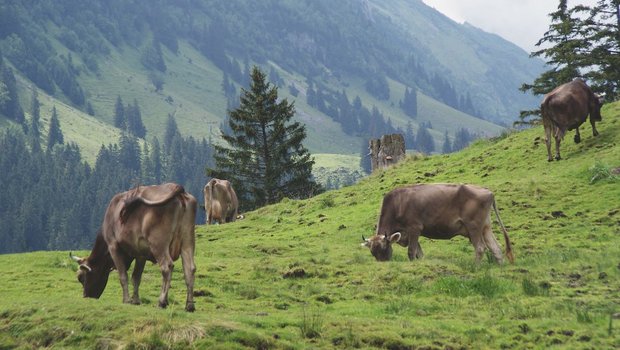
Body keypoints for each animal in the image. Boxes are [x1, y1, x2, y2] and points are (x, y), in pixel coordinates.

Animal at [70, 183, 197, 312]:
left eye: (81, 277)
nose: (86, 296)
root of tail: (178, 190)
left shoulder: (113, 246)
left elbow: (123, 276)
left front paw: (126, 300)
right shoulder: (141, 253)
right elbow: (136, 277)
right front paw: (136, 300)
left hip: (158, 244)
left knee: (167, 267)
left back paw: (162, 302)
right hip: (188, 240)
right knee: (190, 268)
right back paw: (189, 305)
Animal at [358, 185, 512, 264]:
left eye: (384, 249)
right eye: (373, 252)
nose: (383, 265)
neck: (397, 204)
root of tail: (488, 191)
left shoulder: (414, 228)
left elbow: (411, 252)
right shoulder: (409, 234)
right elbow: (419, 253)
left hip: (473, 226)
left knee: (480, 248)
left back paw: (476, 267)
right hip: (485, 227)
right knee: (496, 248)